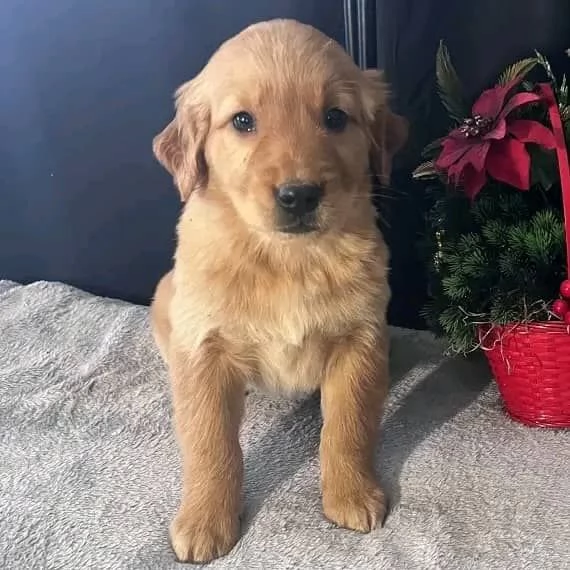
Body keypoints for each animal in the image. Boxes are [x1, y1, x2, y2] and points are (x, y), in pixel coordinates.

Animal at [149, 16, 406, 560]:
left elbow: (349, 424)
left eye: (335, 117)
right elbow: (209, 441)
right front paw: (205, 519)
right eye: (243, 121)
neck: (287, 259)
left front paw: (351, 494)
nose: (299, 195)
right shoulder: (202, 348)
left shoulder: (360, 338)